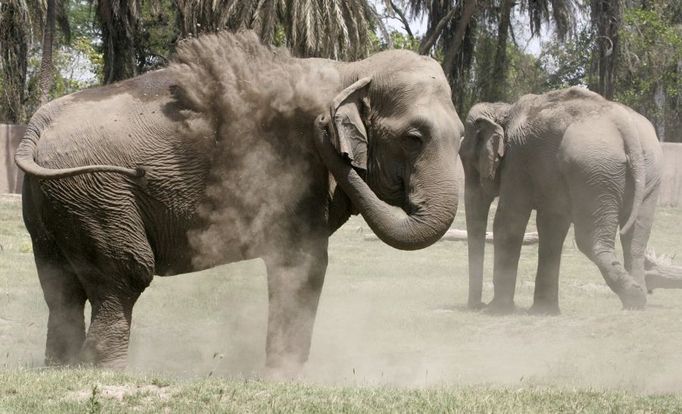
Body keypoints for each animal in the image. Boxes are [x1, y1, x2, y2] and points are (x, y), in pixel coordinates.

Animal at [14, 31, 462, 376]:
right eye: (413, 138)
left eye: (460, 136)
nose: (321, 124)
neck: (352, 69)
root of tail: (36, 125)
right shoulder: (292, 173)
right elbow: (303, 263)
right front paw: (285, 379)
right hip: (97, 193)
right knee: (126, 275)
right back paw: (105, 372)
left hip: (56, 201)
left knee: (61, 285)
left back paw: (61, 368)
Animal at [460, 86, 660, 314]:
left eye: (466, 159)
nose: (477, 305)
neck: (503, 111)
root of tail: (624, 124)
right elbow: (551, 226)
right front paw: (542, 311)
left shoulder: (518, 162)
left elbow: (508, 222)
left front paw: (497, 310)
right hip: (645, 170)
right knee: (634, 242)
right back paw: (638, 300)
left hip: (593, 170)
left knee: (588, 240)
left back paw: (635, 296)